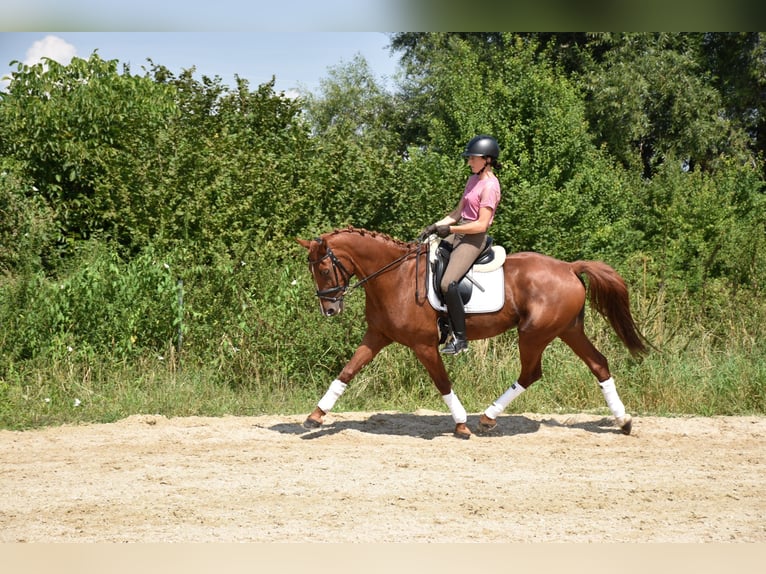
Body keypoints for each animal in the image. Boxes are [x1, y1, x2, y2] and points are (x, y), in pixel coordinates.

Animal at [296, 227, 652, 438]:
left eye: (324, 268)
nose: (329, 310)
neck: (394, 276)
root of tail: (569, 267)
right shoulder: (377, 336)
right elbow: (347, 372)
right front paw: (315, 416)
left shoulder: (424, 345)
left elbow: (442, 382)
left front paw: (461, 424)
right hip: (568, 329)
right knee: (598, 364)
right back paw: (624, 422)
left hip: (534, 333)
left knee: (531, 373)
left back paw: (487, 418)